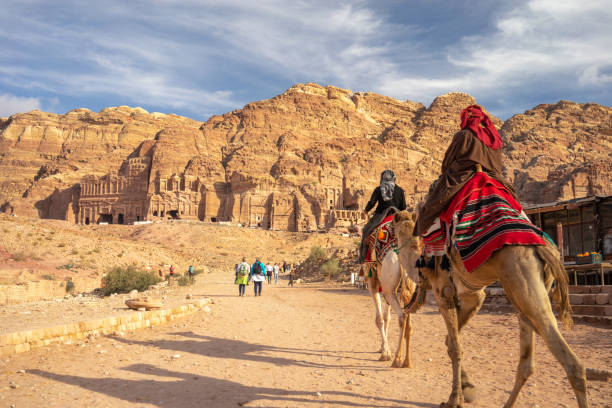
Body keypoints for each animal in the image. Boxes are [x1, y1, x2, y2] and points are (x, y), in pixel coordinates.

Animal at [392, 210, 588, 408]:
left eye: (396, 230)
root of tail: (545, 248)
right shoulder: (473, 297)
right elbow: (450, 341)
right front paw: (468, 388)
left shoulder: (443, 292)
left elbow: (455, 347)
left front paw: (454, 399)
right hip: (531, 290)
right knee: (527, 360)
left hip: (521, 278)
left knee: (572, 363)